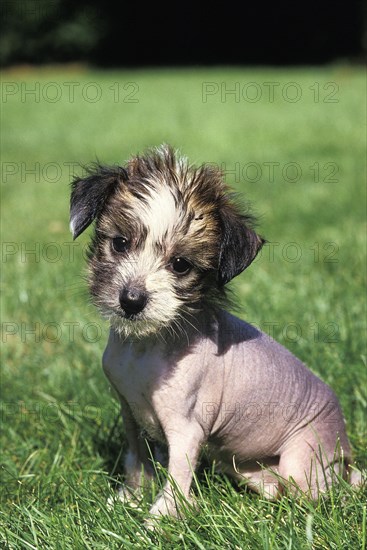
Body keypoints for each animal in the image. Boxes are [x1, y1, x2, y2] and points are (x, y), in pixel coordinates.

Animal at [70, 144, 360, 520]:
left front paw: (158, 521)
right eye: (119, 244)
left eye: (180, 265)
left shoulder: (187, 430)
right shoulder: (130, 415)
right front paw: (129, 499)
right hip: (241, 466)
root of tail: (344, 449)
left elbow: (176, 480)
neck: (147, 347)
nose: (131, 301)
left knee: (329, 491)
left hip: (301, 466)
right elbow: (136, 462)